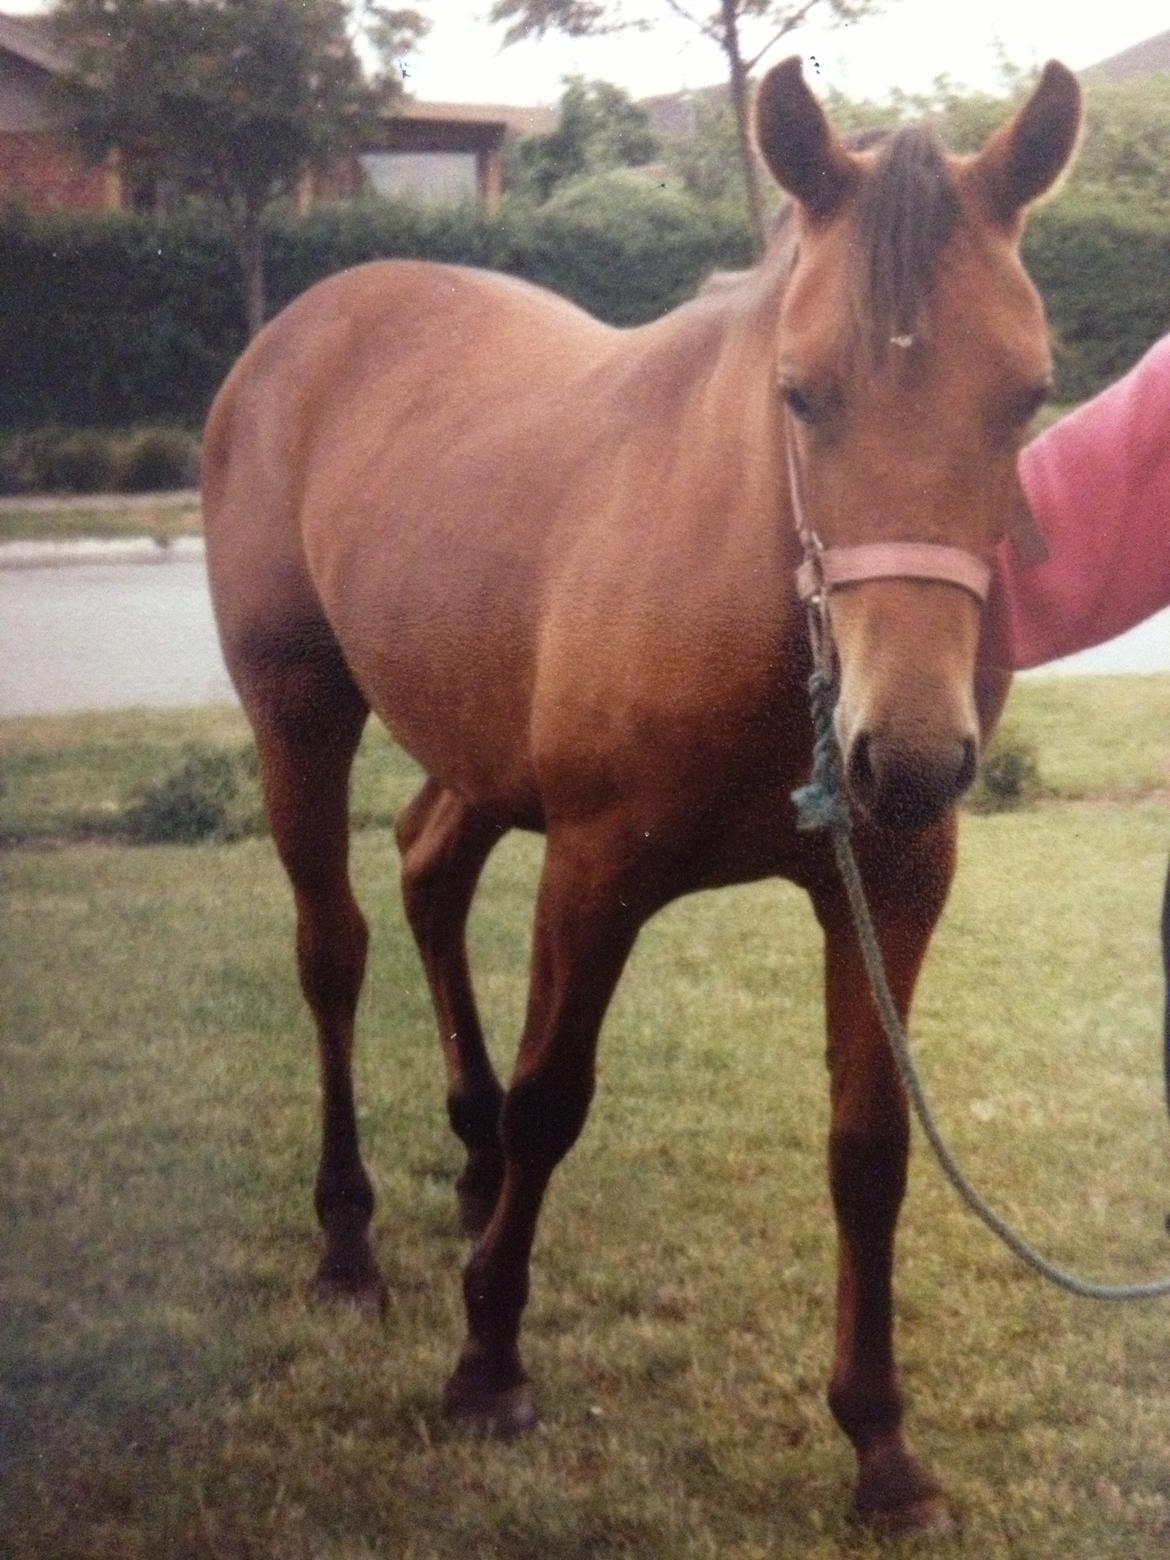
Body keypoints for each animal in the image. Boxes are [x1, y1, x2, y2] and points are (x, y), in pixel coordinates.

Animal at [205, 63, 1085, 1535]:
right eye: (799, 394)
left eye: (1027, 394)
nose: (904, 755)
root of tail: (304, 326)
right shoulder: (597, 867)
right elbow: (557, 1095)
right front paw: (488, 1364)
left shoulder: (893, 881)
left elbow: (868, 1147)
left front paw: (880, 1442)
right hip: (300, 716)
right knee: (334, 951)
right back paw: (349, 1243)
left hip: (478, 749)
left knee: (429, 868)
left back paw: (475, 1170)